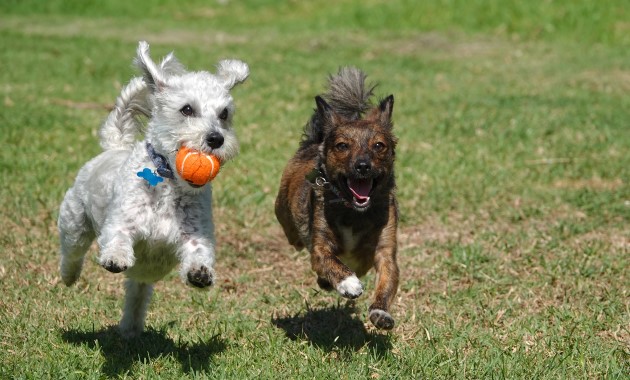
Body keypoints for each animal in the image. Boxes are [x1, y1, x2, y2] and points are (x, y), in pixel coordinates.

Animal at [57, 41, 249, 338]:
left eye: (224, 114)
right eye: (187, 109)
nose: (216, 138)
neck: (169, 181)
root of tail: (116, 146)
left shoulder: (196, 234)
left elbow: (199, 251)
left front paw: (200, 273)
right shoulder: (121, 220)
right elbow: (118, 237)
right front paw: (115, 257)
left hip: (140, 279)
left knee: (137, 294)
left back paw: (131, 329)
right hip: (75, 220)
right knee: (72, 251)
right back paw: (69, 276)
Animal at [276, 67, 400, 328]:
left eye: (379, 146)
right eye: (343, 146)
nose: (362, 166)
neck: (353, 211)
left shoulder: (385, 252)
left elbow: (387, 281)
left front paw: (380, 312)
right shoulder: (320, 247)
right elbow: (330, 261)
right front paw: (348, 283)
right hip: (287, 222)